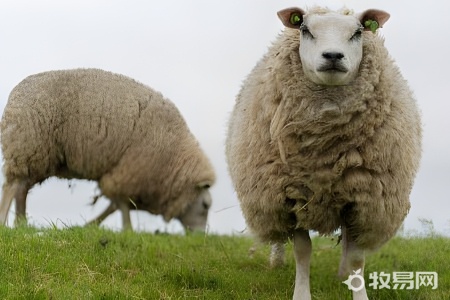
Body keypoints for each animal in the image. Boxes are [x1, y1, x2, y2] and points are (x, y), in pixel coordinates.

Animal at [0, 68, 215, 232]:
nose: (200, 237)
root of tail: (13, 97)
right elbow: (120, 205)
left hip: (36, 156)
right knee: (12, 187)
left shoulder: (126, 176)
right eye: (205, 206)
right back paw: (4, 221)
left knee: (21, 189)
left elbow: (114, 205)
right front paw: (127, 230)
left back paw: (21, 224)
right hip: (26, 147)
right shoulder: (130, 172)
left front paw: (90, 226)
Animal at [229, 5, 422, 300]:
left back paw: (343, 274)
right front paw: (301, 293)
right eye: (304, 29)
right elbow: (302, 251)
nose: (332, 56)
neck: (325, 157)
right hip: (270, 198)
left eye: (358, 32)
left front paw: (358, 291)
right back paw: (276, 261)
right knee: (279, 237)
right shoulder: (292, 196)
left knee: (347, 243)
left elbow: (356, 256)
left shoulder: (362, 198)